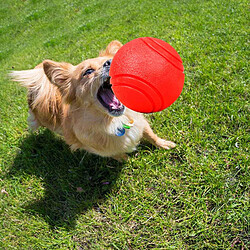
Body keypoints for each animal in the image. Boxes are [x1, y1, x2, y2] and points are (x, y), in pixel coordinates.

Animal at [10, 40, 176, 162]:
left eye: (113, 61)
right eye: (88, 71)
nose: (109, 62)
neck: (114, 121)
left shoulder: (140, 121)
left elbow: (150, 134)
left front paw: (163, 143)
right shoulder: (94, 148)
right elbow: (114, 154)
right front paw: (125, 159)